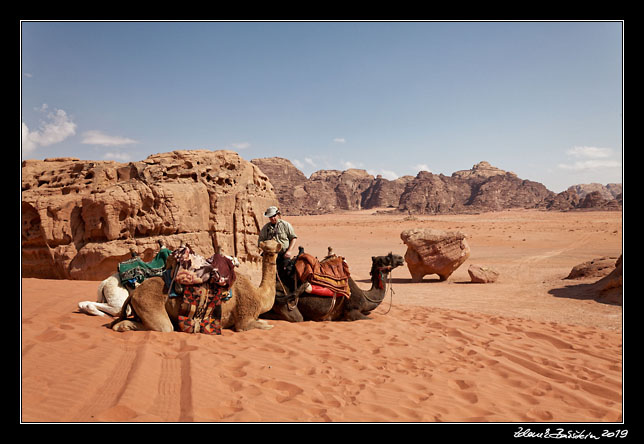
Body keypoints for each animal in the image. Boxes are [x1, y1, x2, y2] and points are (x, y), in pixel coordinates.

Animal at [110, 239, 282, 332]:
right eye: (272, 245)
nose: (278, 247)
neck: (259, 295)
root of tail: (134, 293)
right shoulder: (244, 321)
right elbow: (266, 326)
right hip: (149, 303)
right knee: (163, 327)